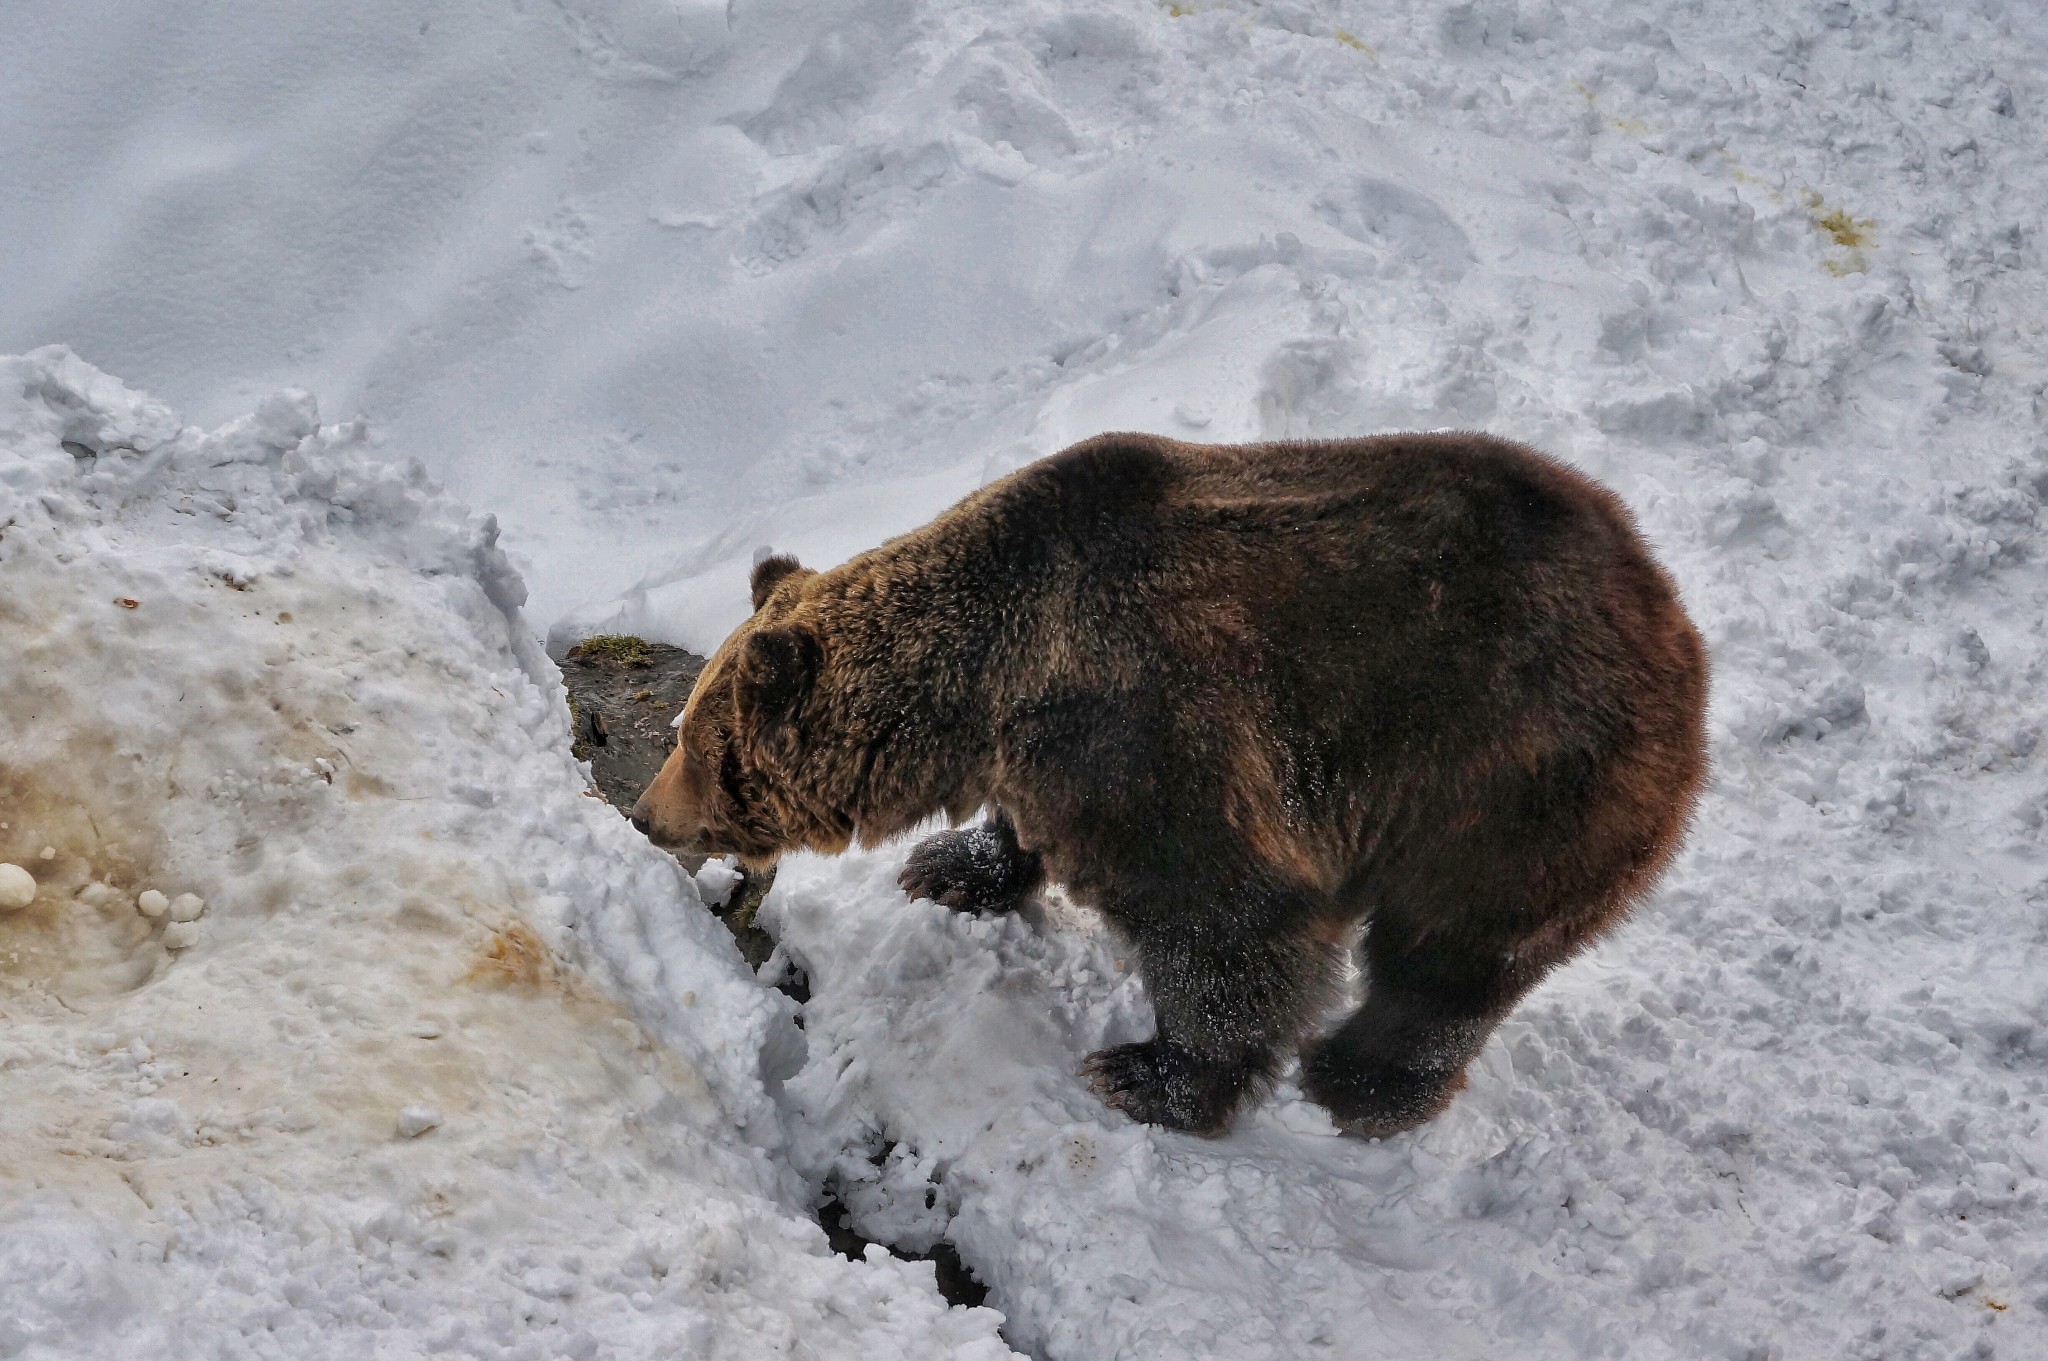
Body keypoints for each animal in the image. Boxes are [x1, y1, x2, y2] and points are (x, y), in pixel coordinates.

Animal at [634, 431, 1712, 1137]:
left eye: (698, 741)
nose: (646, 813)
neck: (984, 681)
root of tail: (1670, 614)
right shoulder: (1042, 752)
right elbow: (1017, 832)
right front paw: (951, 865)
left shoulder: (1144, 731)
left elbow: (1224, 921)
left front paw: (1148, 1074)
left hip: (1511, 775)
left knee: (1449, 958)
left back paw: (1361, 1082)